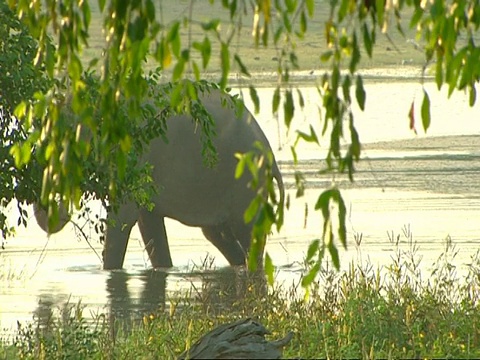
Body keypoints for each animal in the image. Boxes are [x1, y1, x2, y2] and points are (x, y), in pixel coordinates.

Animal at [34, 86, 284, 268]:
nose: (63, 208)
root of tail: (269, 150)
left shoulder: (134, 155)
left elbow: (123, 218)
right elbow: (148, 223)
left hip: (246, 180)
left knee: (246, 232)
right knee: (219, 234)